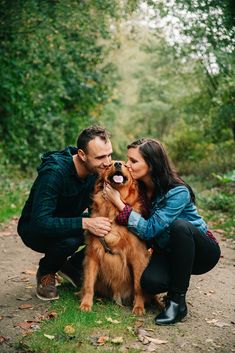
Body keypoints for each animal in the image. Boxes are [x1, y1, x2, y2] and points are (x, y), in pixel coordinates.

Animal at [80, 160, 151, 314]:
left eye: (125, 165)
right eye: (108, 165)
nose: (118, 163)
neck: (113, 209)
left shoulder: (137, 256)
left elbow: (138, 286)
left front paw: (138, 307)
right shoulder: (92, 254)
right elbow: (88, 284)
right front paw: (86, 304)